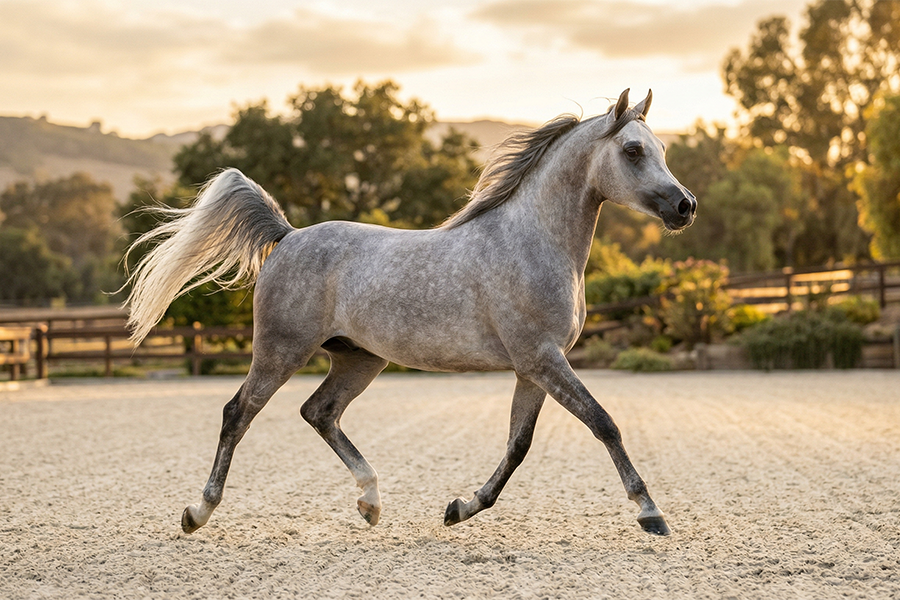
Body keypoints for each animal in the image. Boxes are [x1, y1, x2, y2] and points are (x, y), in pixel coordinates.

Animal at [123, 88, 696, 537]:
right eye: (633, 149)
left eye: (663, 148)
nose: (684, 206)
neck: (532, 242)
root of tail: (287, 235)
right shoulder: (542, 359)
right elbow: (604, 423)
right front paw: (650, 513)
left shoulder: (532, 368)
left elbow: (518, 445)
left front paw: (459, 508)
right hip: (280, 350)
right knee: (237, 414)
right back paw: (198, 512)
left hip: (358, 359)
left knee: (319, 412)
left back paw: (370, 503)